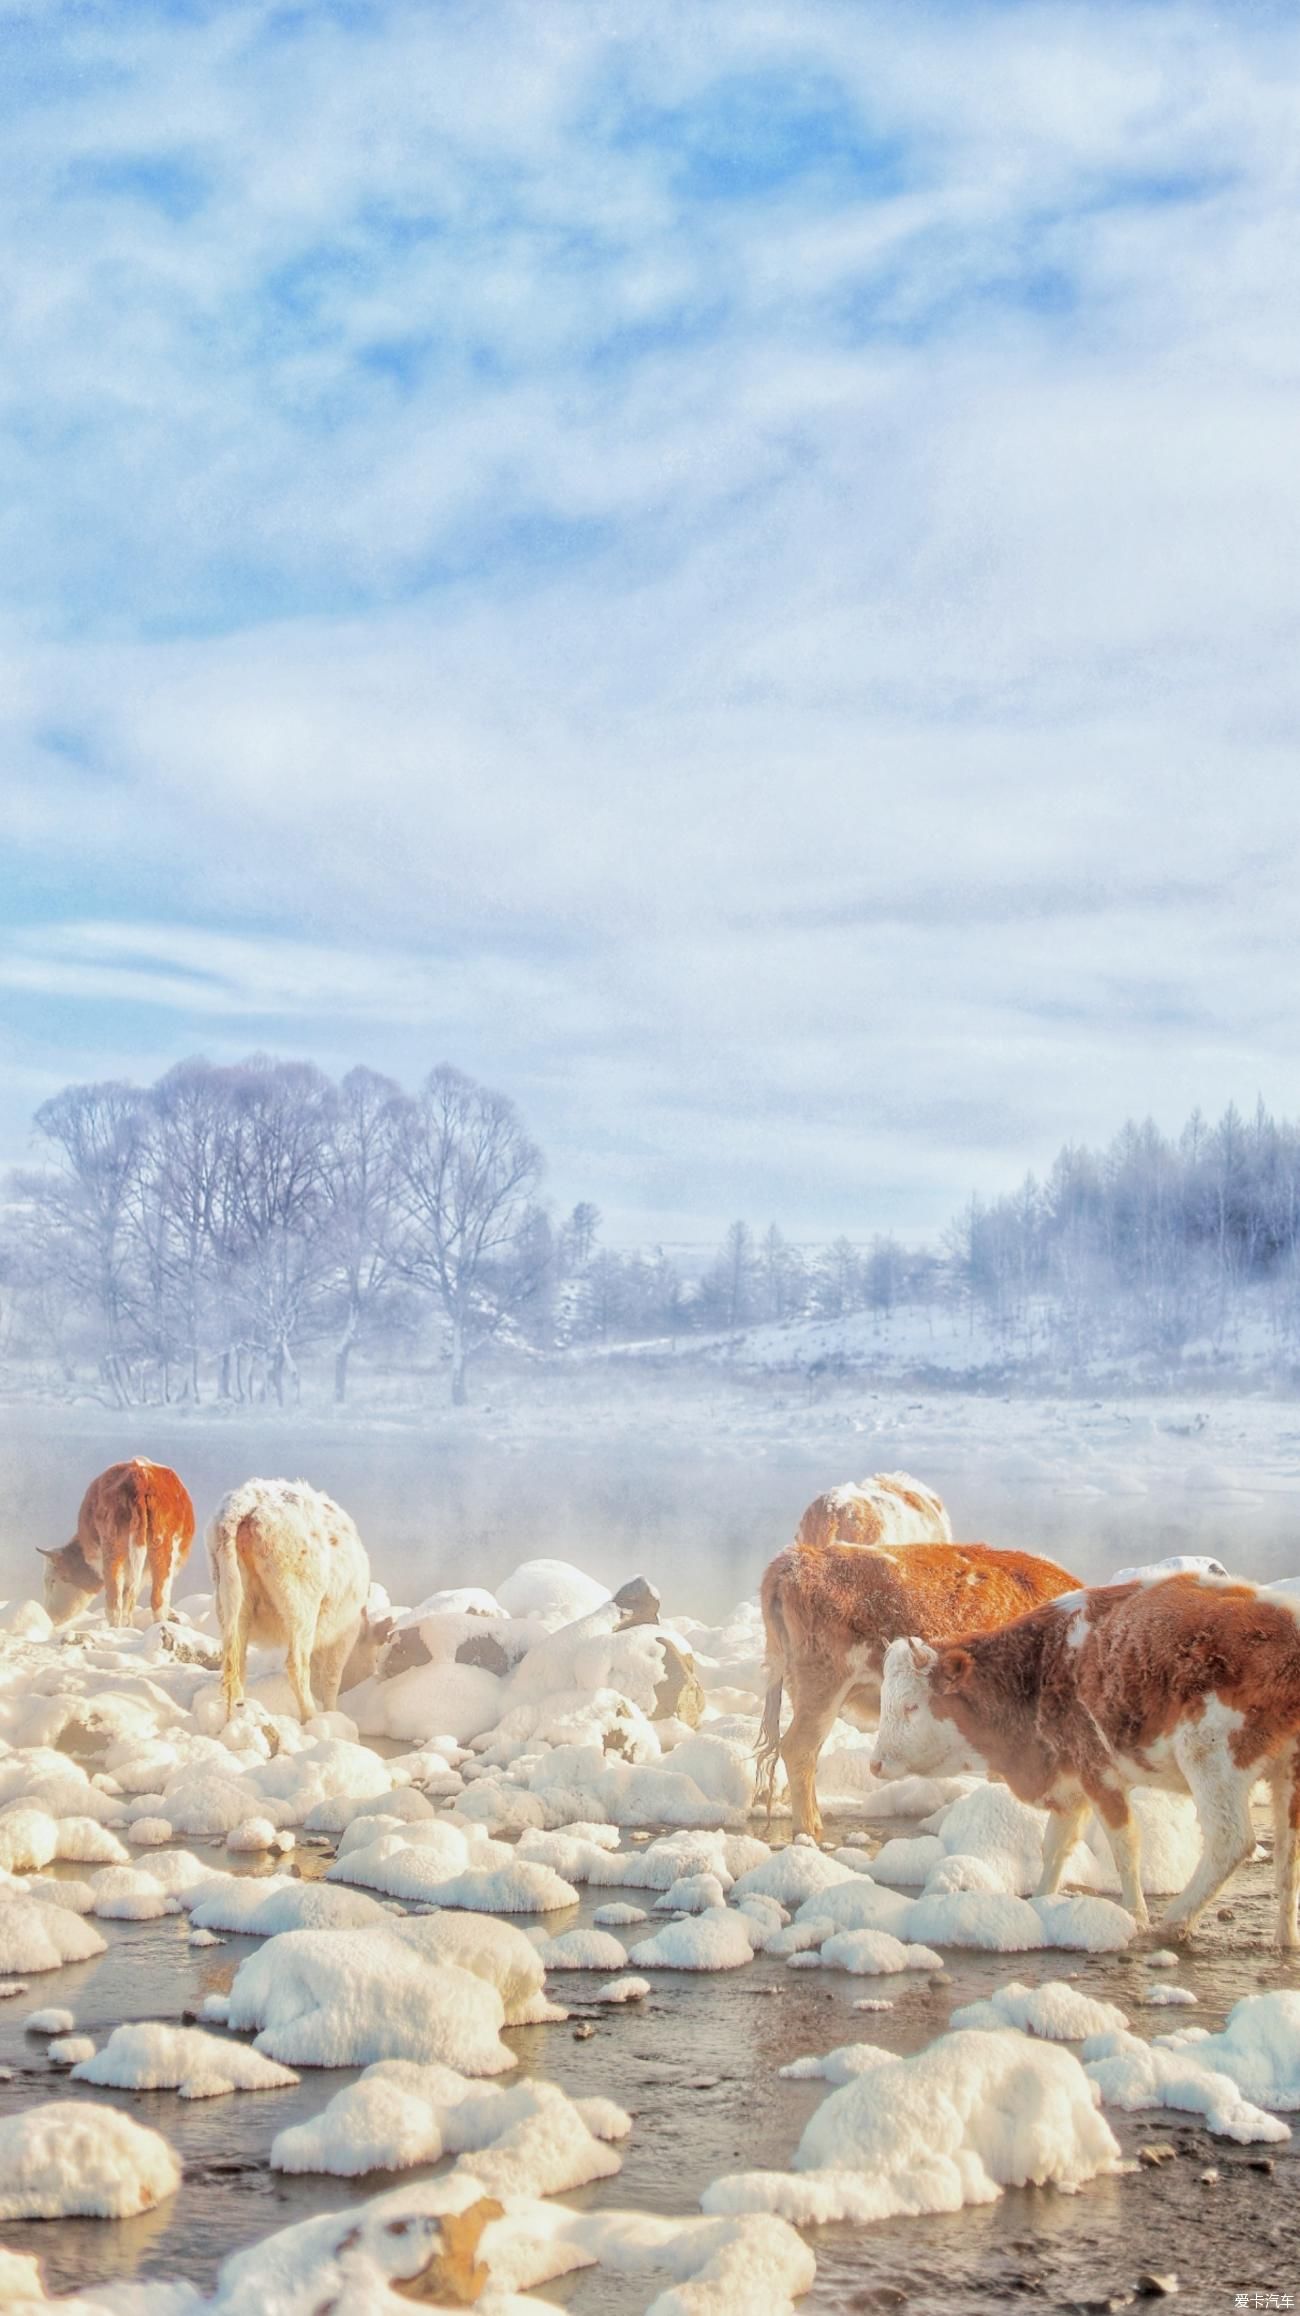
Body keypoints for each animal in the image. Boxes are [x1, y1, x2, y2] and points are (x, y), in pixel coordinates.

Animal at [41, 1463, 194, 1630]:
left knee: (122, 1602)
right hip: (154, 1549)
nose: (48, 1616)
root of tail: (139, 1475)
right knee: (151, 1600)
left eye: (52, 1581)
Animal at [206, 1482, 370, 1723]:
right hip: (299, 1599)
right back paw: (311, 1717)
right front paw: (333, 1715)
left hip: (230, 1594)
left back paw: (237, 1713)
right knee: (296, 1664)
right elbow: (332, 1676)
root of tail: (246, 1501)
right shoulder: (345, 1630)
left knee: (236, 1663)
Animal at [871, 1574, 1300, 1954]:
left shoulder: (1100, 1775)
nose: (875, 1764)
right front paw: (1040, 1903)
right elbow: (1055, 1848)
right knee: (1287, 1854)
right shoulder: (1069, 1784)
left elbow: (1125, 1847)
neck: (1040, 1666)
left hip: (1210, 1760)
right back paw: (1285, 1938)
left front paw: (1135, 1917)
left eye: (911, 1706)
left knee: (1231, 1840)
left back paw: (1174, 1922)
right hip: (1288, 1779)